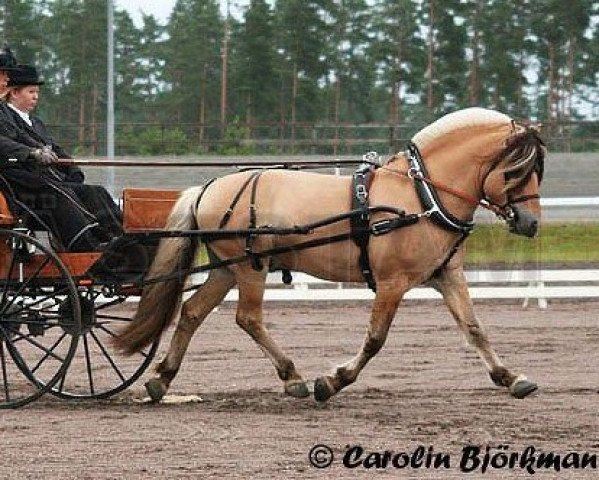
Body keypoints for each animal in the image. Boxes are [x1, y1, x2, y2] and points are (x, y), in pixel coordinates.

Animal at [113, 108, 548, 402]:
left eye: (536, 170)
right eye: (516, 171)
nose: (530, 223)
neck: (420, 195)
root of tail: (207, 187)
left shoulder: (446, 276)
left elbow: (474, 328)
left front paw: (510, 377)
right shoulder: (392, 282)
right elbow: (375, 338)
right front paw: (333, 381)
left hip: (227, 268)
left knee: (191, 313)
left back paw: (162, 378)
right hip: (251, 266)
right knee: (248, 318)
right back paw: (293, 378)